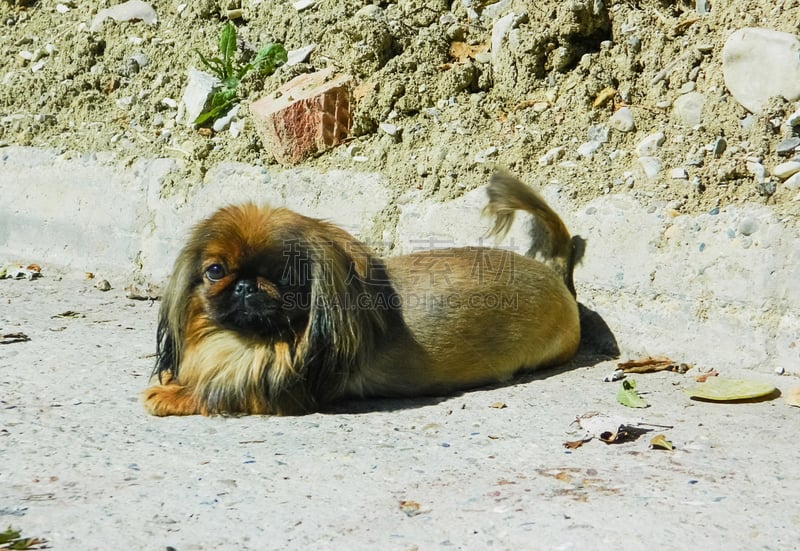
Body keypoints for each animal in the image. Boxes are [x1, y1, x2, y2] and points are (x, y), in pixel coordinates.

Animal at [142, 170, 580, 416]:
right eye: (215, 271)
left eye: (285, 275)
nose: (248, 284)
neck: (260, 343)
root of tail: (554, 273)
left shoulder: (284, 395)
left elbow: (218, 394)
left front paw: (171, 395)